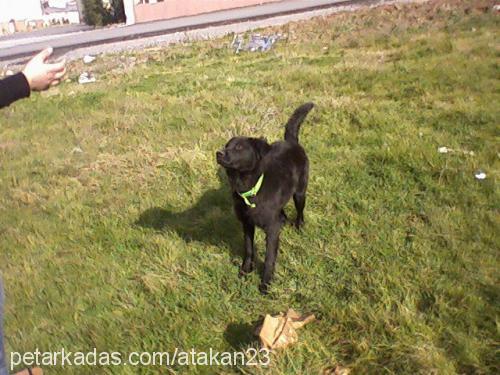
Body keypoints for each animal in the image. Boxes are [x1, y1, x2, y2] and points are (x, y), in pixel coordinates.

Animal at [217, 103, 314, 294]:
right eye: (226, 145)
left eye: (239, 148)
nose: (219, 153)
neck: (250, 188)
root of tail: (291, 142)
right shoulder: (247, 223)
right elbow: (248, 249)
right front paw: (245, 270)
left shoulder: (271, 230)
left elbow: (269, 258)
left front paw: (265, 284)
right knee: (282, 214)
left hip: (300, 193)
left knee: (299, 211)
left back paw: (299, 226)